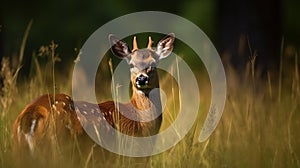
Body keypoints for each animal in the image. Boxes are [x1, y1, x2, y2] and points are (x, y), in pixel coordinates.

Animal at [12, 33, 176, 164]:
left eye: (153, 64)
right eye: (131, 64)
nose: (141, 79)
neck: (141, 123)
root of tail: (31, 115)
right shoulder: (131, 155)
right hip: (57, 149)